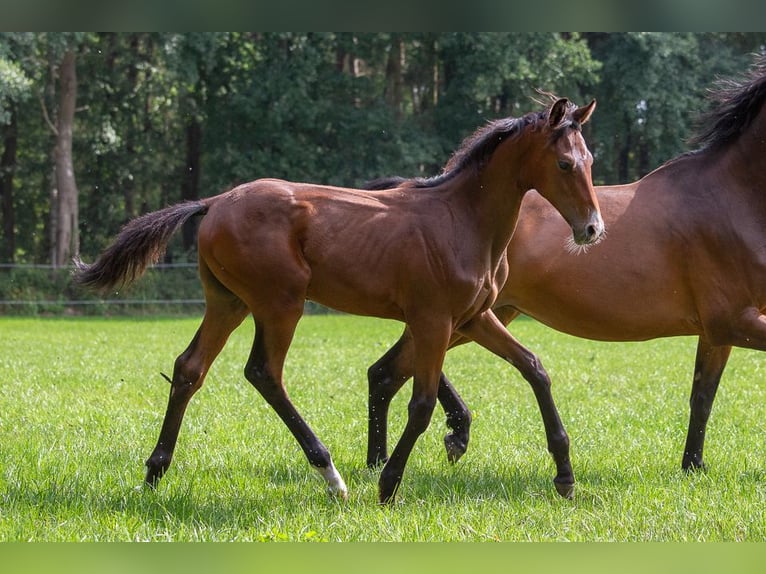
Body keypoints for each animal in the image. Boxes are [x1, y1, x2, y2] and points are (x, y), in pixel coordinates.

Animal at [73, 97, 608, 502]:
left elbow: (534, 368)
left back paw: (155, 471)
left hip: (228, 303)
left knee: (189, 369)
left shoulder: (475, 318)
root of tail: (214, 203)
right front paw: (389, 484)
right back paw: (331, 475)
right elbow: (422, 403)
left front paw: (565, 476)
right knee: (264, 373)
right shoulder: (434, 319)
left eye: (590, 162)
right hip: (281, 303)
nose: (592, 229)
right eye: (564, 163)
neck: (462, 219)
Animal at [364, 58, 766, 484]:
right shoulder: (732, 321)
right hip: (460, 315)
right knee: (389, 371)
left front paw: (693, 465)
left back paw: (384, 460)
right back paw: (431, 443)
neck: (730, 198)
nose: (592, 229)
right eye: (565, 163)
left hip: (484, 313)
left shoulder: (717, 330)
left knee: (386, 372)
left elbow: (702, 395)